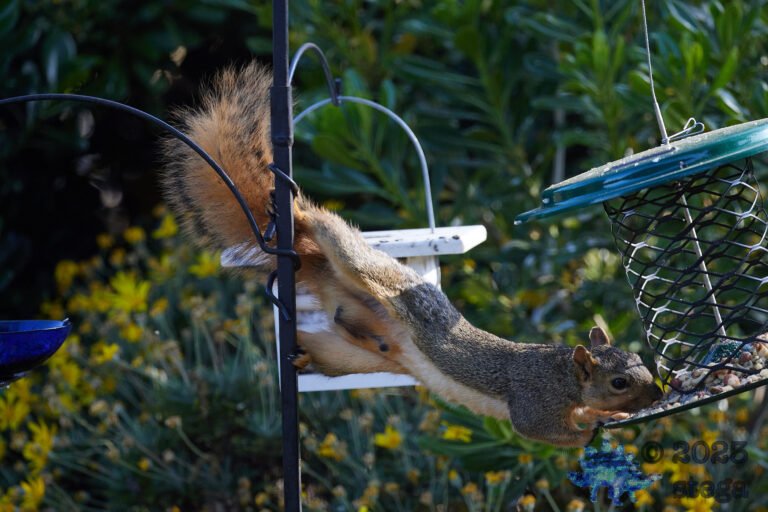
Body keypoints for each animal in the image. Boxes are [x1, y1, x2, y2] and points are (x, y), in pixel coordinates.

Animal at [160, 62, 663, 447]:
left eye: (640, 361)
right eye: (619, 382)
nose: (657, 397)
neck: (563, 375)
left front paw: (608, 418)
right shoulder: (535, 402)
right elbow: (541, 431)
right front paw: (593, 427)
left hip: (356, 354)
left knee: (331, 346)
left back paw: (302, 359)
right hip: (371, 272)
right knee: (332, 237)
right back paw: (300, 214)